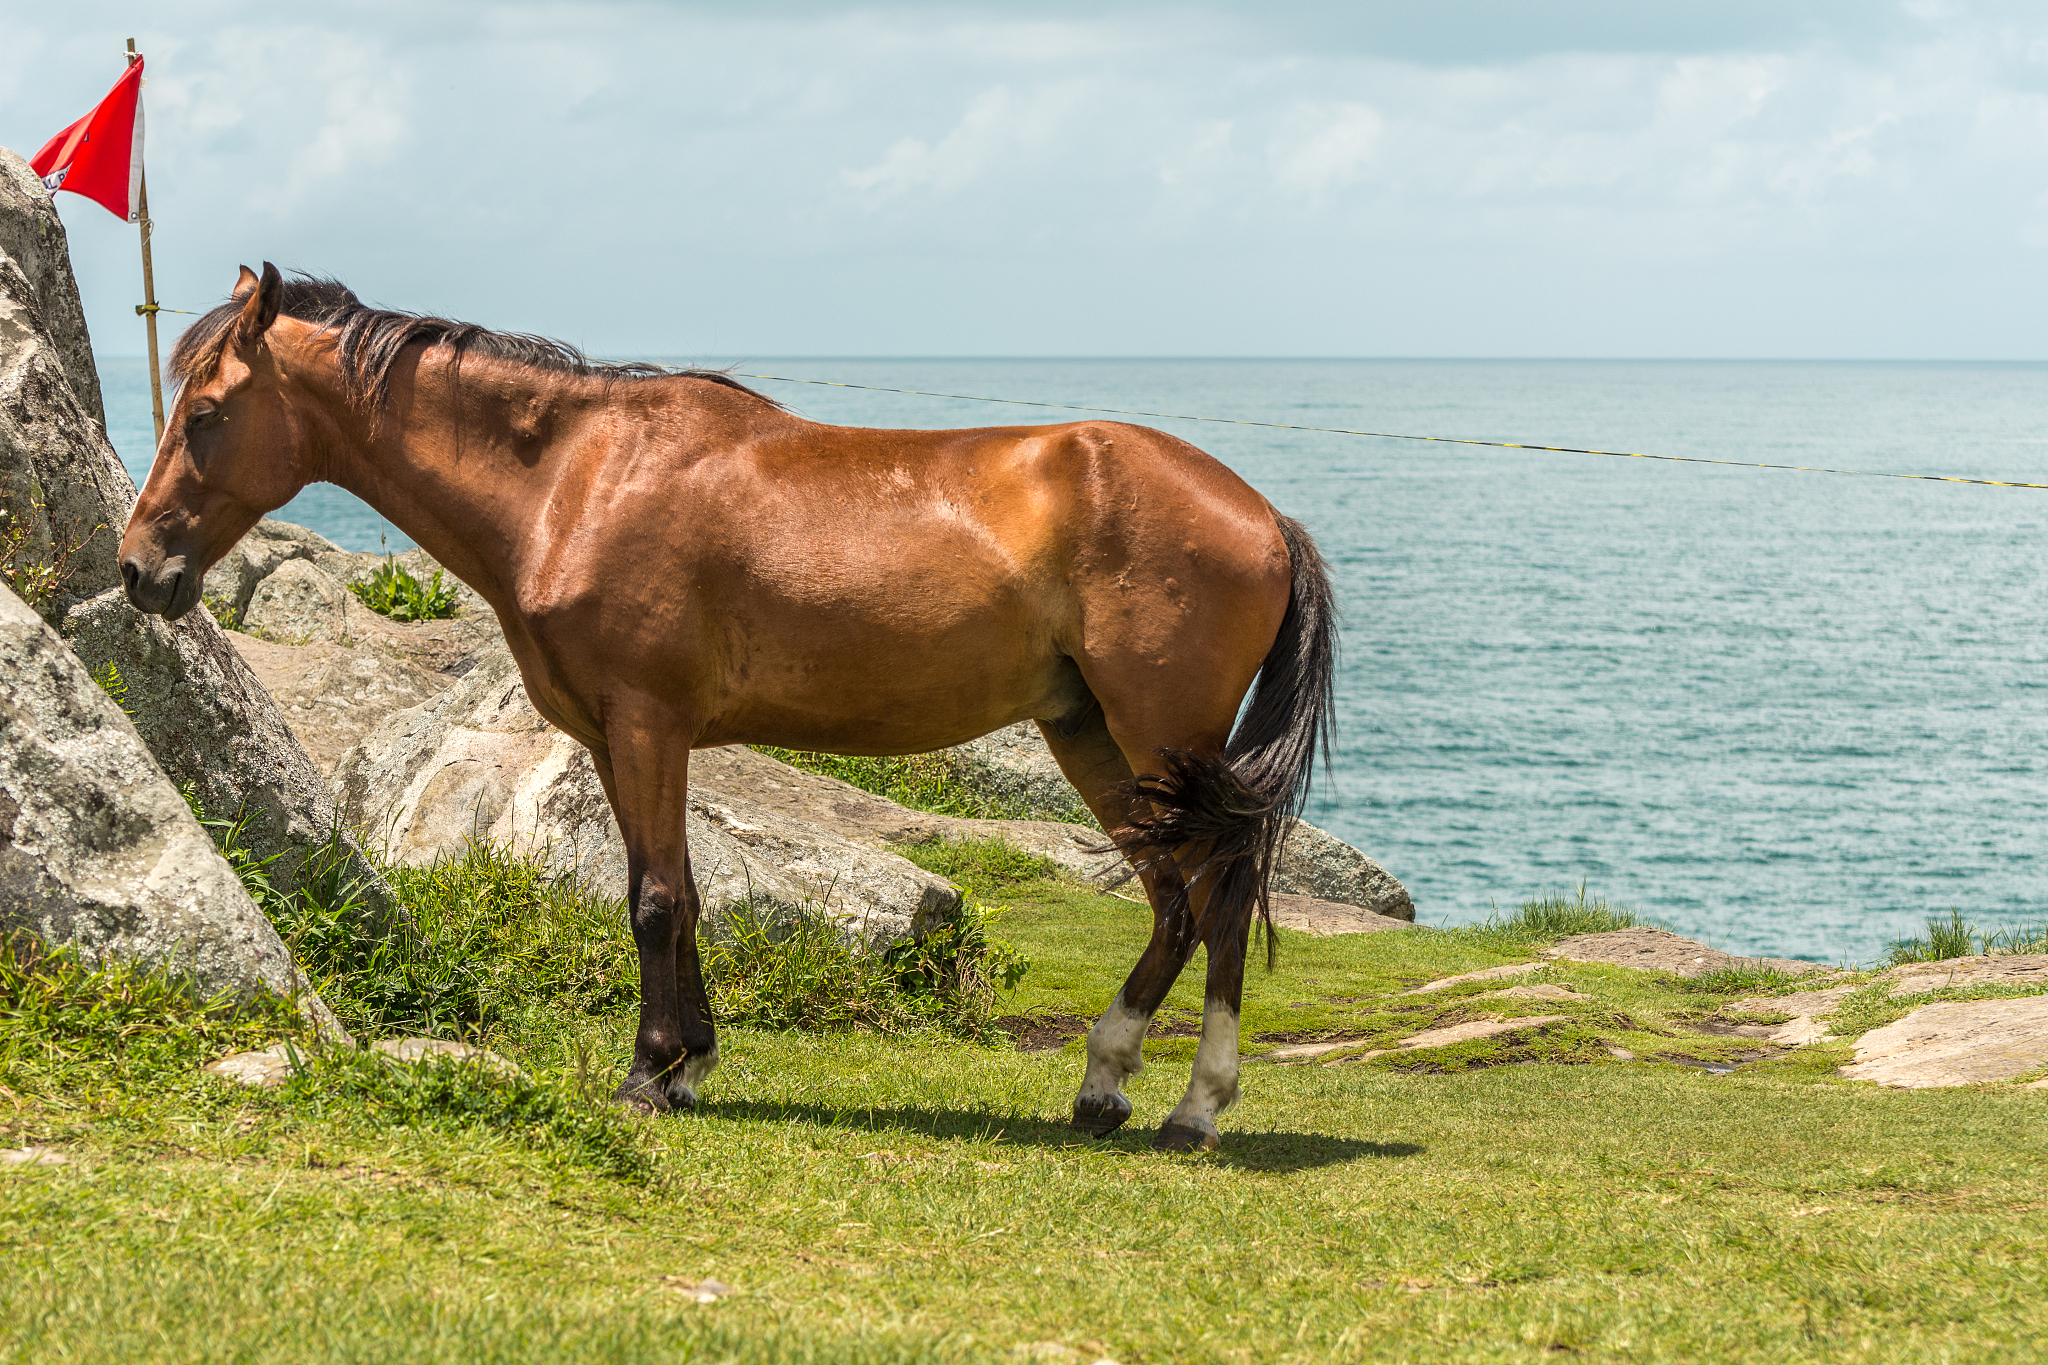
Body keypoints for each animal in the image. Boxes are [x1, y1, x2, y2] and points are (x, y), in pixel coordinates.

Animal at [119, 263, 1337, 1152]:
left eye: (209, 412)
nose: (139, 570)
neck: (572, 478)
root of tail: (1263, 514)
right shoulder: (613, 737)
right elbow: (676, 892)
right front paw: (688, 1060)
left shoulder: (648, 722)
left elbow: (656, 900)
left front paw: (647, 1072)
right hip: (1091, 735)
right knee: (1177, 902)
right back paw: (1105, 1085)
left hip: (1159, 737)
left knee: (1220, 894)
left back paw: (1194, 1104)